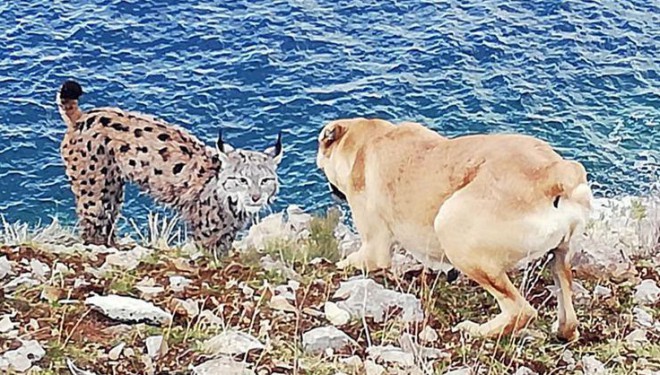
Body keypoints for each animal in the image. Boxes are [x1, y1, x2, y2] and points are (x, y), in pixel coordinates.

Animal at [316, 119, 592, 342]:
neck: (366, 139)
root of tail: (551, 175)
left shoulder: (373, 249)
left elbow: (353, 261)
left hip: (453, 231)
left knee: (519, 310)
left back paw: (477, 331)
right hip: (562, 256)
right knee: (567, 308)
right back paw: (564, 332)